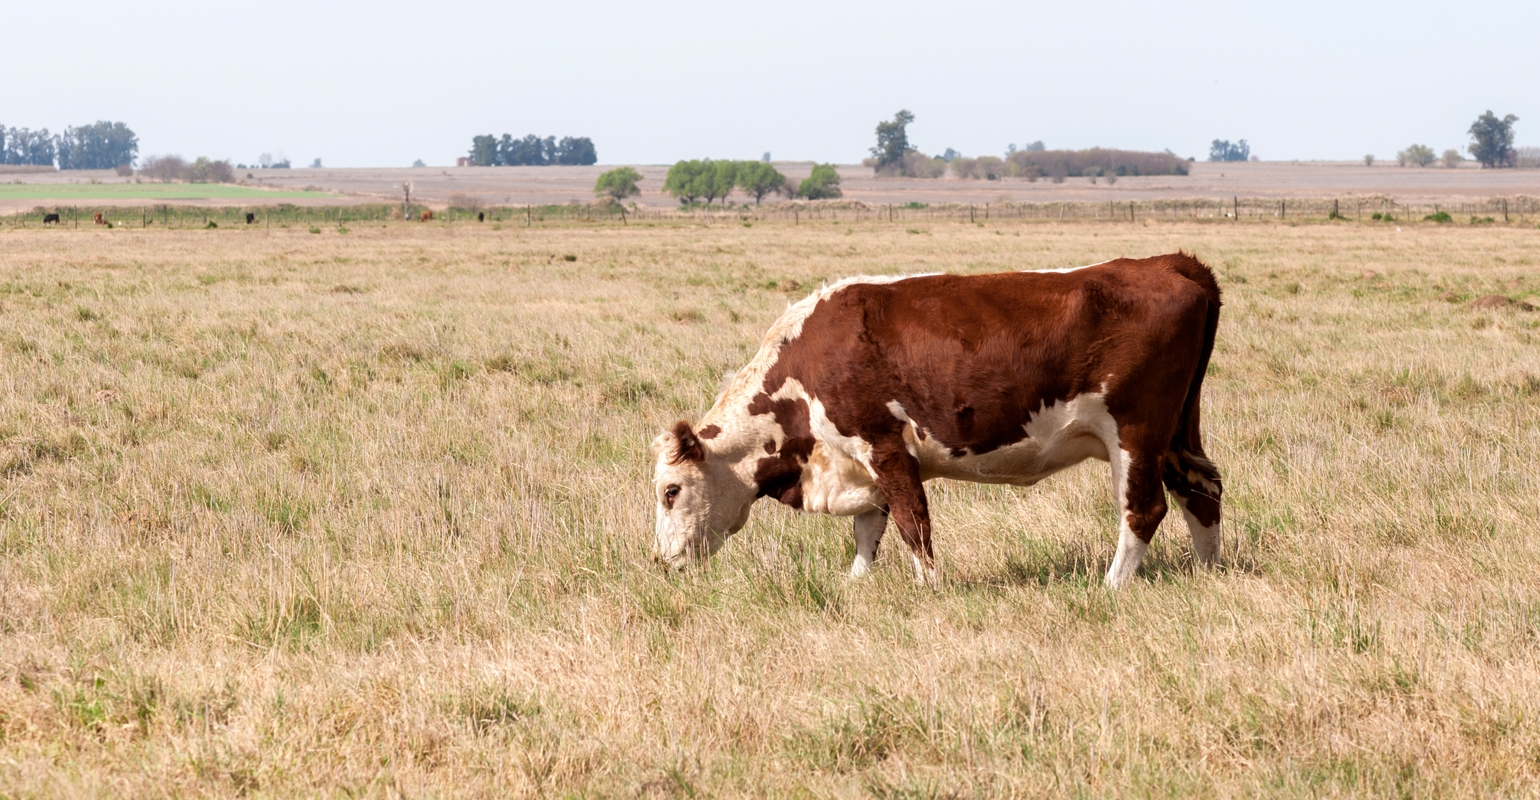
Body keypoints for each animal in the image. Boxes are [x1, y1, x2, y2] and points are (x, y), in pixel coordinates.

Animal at [652, 252, 1225, 588]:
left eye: (671, 491)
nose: (661, 561)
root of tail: (1168, 263)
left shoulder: (884, 446)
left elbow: (912, 525)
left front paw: (927, 587)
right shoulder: (862, 464)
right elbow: (869, 529)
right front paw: (855, 585)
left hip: (1136, 433)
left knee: (1144, 510)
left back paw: (1110, 586)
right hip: (1176, 432)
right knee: (1203, 488)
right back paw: (1209, 572)